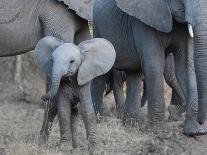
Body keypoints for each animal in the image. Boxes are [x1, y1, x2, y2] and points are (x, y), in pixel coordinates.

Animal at [92, 0, 204, 135]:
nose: (201, 122)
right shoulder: (145, 19)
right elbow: (154, 65)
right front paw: (160, 131)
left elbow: (186, 66)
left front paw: (195, 131)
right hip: (98, 29)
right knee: (103, 73)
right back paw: (99, 119)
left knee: (133, 73)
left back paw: (132, 124)